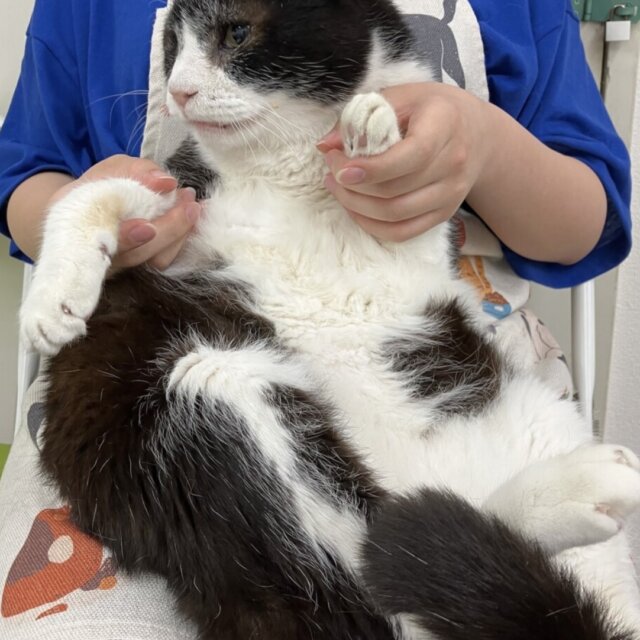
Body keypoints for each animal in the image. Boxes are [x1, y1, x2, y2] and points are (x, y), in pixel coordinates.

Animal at [19, 0, 640, 638]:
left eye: (236, 33)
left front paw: (373, 130)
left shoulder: (415, 243)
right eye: (172, 42)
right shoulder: (187, 208)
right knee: (369, 568)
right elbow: (93, 192)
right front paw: (53, 297)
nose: (179, 90)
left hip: (544, 423)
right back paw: (572, 495)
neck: (282, 165)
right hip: (206, 397)